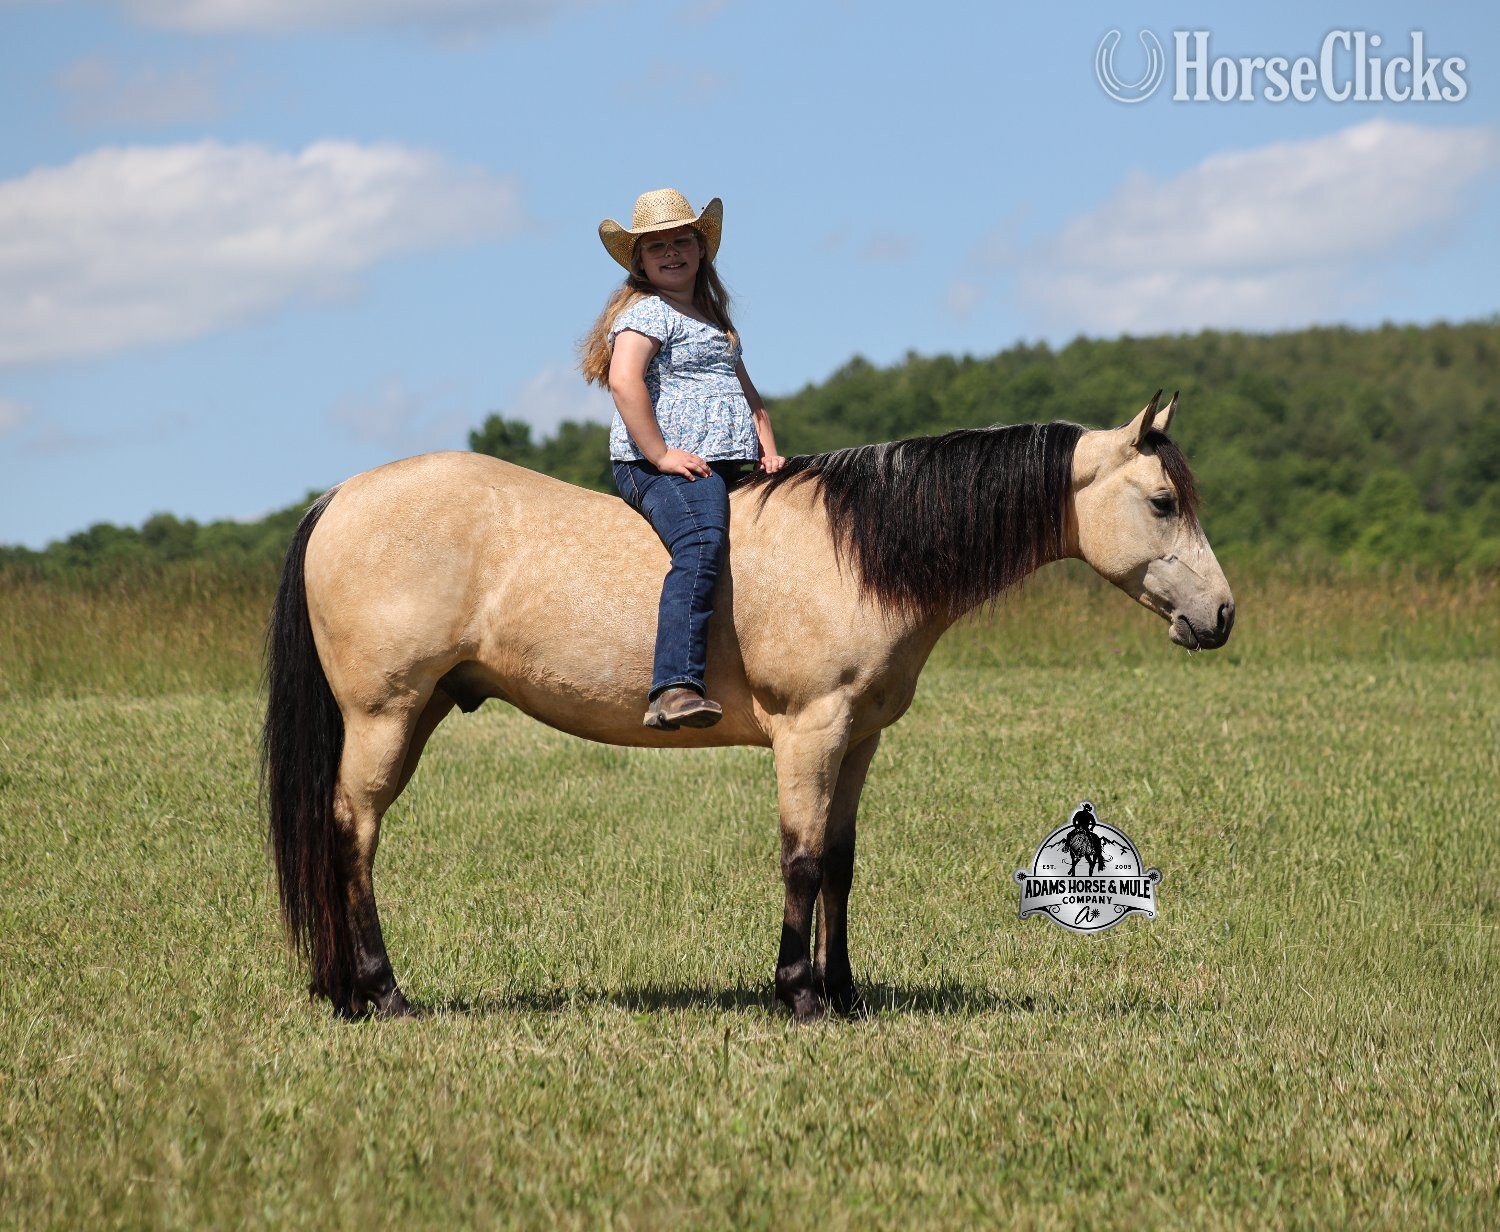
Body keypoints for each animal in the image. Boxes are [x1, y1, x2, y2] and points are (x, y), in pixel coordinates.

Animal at [262, 390, 1234, 1022]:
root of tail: (340, 497)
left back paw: (345, 992)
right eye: (1162, 501)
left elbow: (840, 863)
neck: (857, 552)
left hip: (418, 710)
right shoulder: (810, 730)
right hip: (385, 716)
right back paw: (381, 993)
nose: (1221, 616)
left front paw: (844, 994)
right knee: (352, 834)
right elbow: (800, 862)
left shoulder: (858, 740)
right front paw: (797, 995)